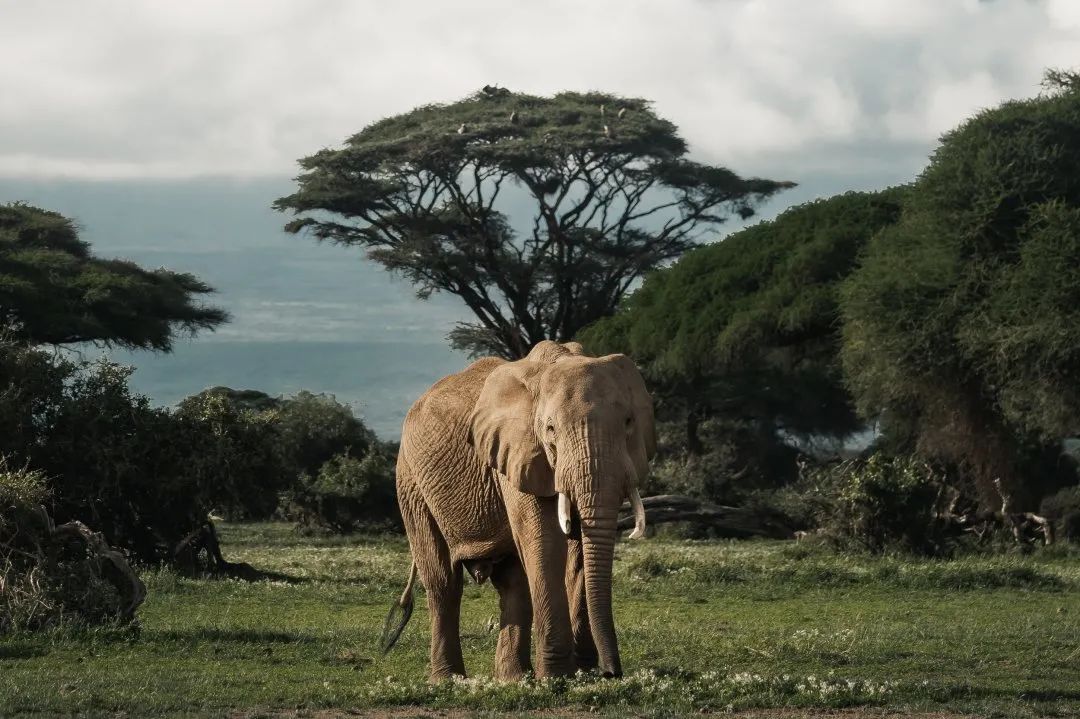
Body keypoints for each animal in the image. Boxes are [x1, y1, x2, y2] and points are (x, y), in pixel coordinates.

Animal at [382, 341, 648, 677]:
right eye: (550, 429)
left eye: (628, 423)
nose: (611, 673)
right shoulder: (517, 457)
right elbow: (545, 542)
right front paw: (557, 676)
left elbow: (576, 550)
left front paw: (580, 673)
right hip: (411, 482)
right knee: (443, 581)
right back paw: (448, 680)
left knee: (514, 584)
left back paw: (513, 679)